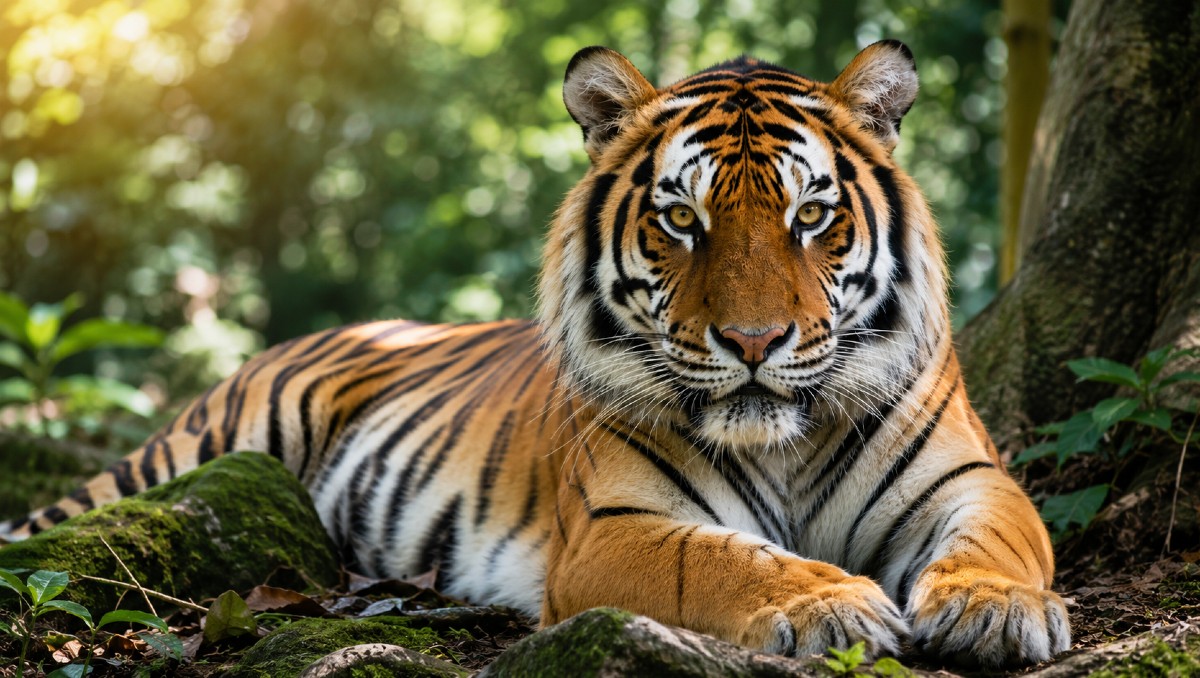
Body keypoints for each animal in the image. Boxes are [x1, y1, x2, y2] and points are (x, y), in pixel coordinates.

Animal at [1, 41, 1070, 666]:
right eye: (681, 220)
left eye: (811, 216)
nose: (754, 342)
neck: (783, 441)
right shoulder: (615, 525)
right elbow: (727, 563)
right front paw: (833, 606)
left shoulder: (972, 479)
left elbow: (1003, 540)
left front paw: (994, 609)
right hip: (195, 453)